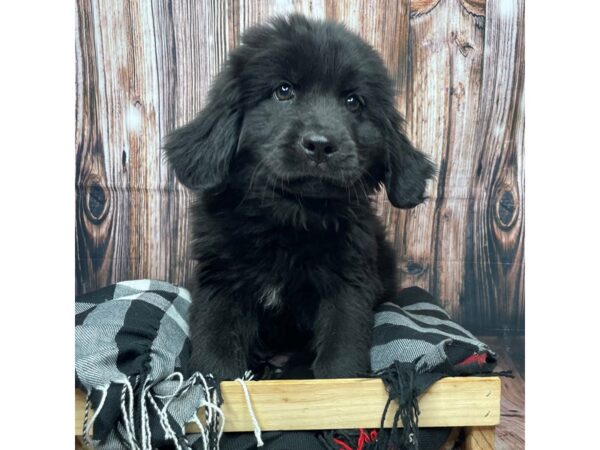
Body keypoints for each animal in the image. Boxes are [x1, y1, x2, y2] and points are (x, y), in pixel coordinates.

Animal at [164, 14, 436, 380]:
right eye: (284, 90)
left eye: (353, 101)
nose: (320, 144)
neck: (290, 218)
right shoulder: (219, 283)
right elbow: (215, 352)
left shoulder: (348, 287)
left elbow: (341, 357)